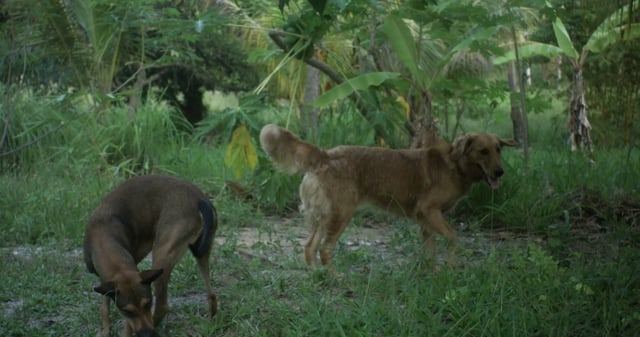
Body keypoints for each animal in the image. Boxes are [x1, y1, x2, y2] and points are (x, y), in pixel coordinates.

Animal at [84, 173, 219, 336]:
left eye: (148, 304)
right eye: (127, 311)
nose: (148, 334)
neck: (103, 238)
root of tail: (199, 199)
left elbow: (125, 322)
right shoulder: (106, 281)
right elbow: (105, 306)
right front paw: (105, 330)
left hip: (162, 255)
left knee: (162, 307)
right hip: (202, 251)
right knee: (211, 294)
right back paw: (210, 324)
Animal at [260, 123, 516, 266]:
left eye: (498, 150)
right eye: (483, 151)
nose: (500, 172)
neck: (454, 164)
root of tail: (325, 154)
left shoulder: (426, 221)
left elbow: (430, 251)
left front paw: (431, 273)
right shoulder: (429, 211)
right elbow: (453, 238)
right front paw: (451, 267)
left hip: (325, 216)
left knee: (309, 247)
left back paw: (316, 277)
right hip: (341, 215)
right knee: (325, 248)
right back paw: (334, 280)